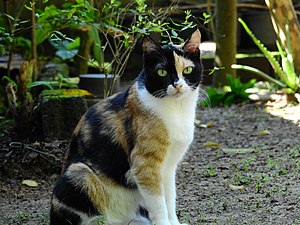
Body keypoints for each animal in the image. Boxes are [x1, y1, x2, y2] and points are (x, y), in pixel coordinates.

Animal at [50, 29, 203, 225]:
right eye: (162, 72)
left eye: (187, 70)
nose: (177, 85)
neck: (176, 110)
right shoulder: (144, 163)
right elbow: (158, 203)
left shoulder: (168, 167)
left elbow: (170, 199)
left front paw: (174, 223)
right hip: (79, 173)